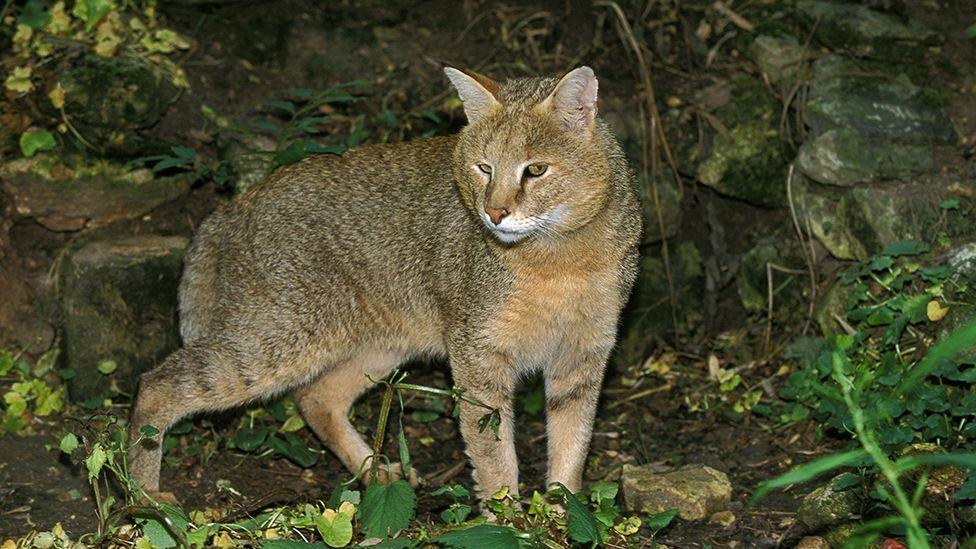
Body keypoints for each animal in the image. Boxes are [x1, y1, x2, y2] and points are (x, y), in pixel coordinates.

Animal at [132, 66, 648, 504]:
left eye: (536, 170)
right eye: (484, 168)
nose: (494, 212)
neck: (562, 260)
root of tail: (232, 205)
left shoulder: (583, 357)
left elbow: (571, 449)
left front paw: (561, 515)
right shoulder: (478, 358)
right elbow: (494, 457)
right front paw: (508, 521)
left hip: (376, 344)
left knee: (316, 399)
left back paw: (374, 472)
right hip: (275, 342)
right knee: (157, 384)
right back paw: (142, 495)